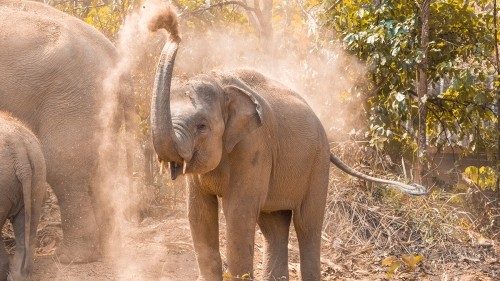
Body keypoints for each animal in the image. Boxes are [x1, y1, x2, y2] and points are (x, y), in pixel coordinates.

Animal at [0, 0, 135, 262]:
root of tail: (117, 60)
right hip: (99, 109)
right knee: (101, 169)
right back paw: (108, 250)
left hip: (73, 100)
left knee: (62, 163)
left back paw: (71, 257)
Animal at [148, 6, 426, 280]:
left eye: (202, 126)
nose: (167, 22)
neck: (222, 82)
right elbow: (199, 214)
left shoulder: (254, 147)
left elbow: (238, 212)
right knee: (274, 224)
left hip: (318, 164)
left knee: (307, 224)